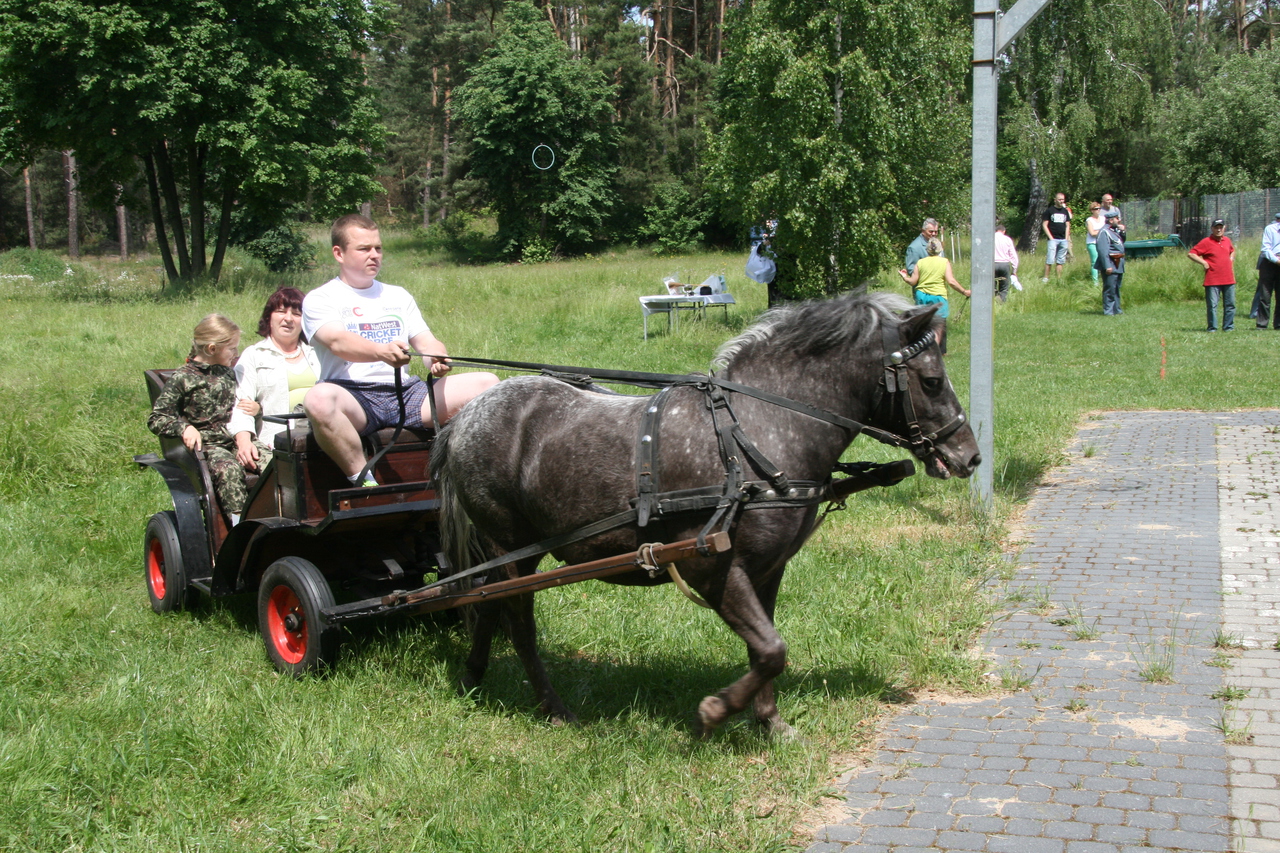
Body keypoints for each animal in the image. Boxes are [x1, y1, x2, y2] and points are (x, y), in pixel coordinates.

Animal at [430, 289, 977, 732]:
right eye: (931, 380)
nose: (969, 456)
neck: (755, 432)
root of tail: (464, 419)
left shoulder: (766, 569)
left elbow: (764, 647)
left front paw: (769, 722)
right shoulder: (711, 567)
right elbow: (772, 650)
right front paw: (716, 712)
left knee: (486, 600)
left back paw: (473, 677)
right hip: (511, 545)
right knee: (518, 623)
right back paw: (553, 707)